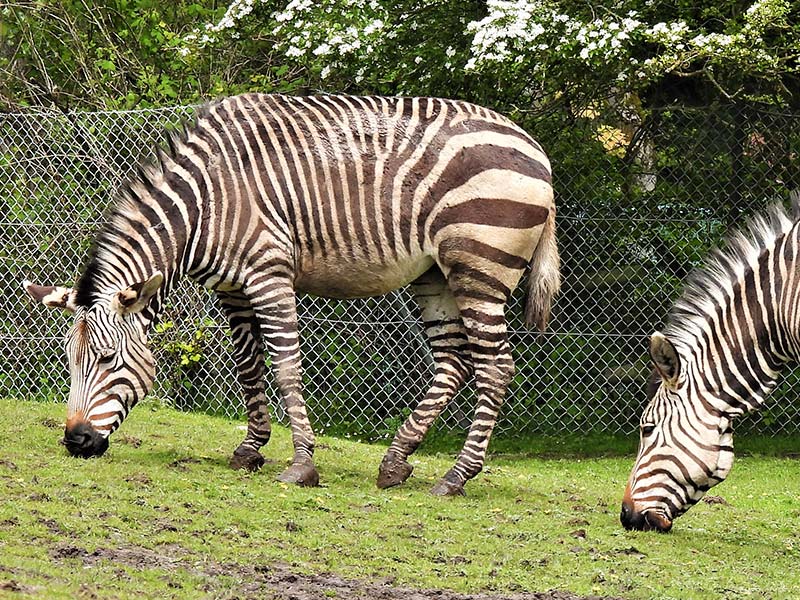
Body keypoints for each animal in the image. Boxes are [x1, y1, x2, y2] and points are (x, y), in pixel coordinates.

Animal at [24, 93, 559, 496]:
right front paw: (249, 449)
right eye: (69, 361)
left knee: (496, 367)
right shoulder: (234, 290)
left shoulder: (269, 275)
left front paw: (302, 464)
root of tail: (533, 146)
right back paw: (395, 462)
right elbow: (248, 365)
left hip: (478, 265)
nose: (75, 442)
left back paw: (455, 477)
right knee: (453, 362)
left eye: (109, 359)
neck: (207, 205)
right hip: (435, 274)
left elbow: (285, 366)